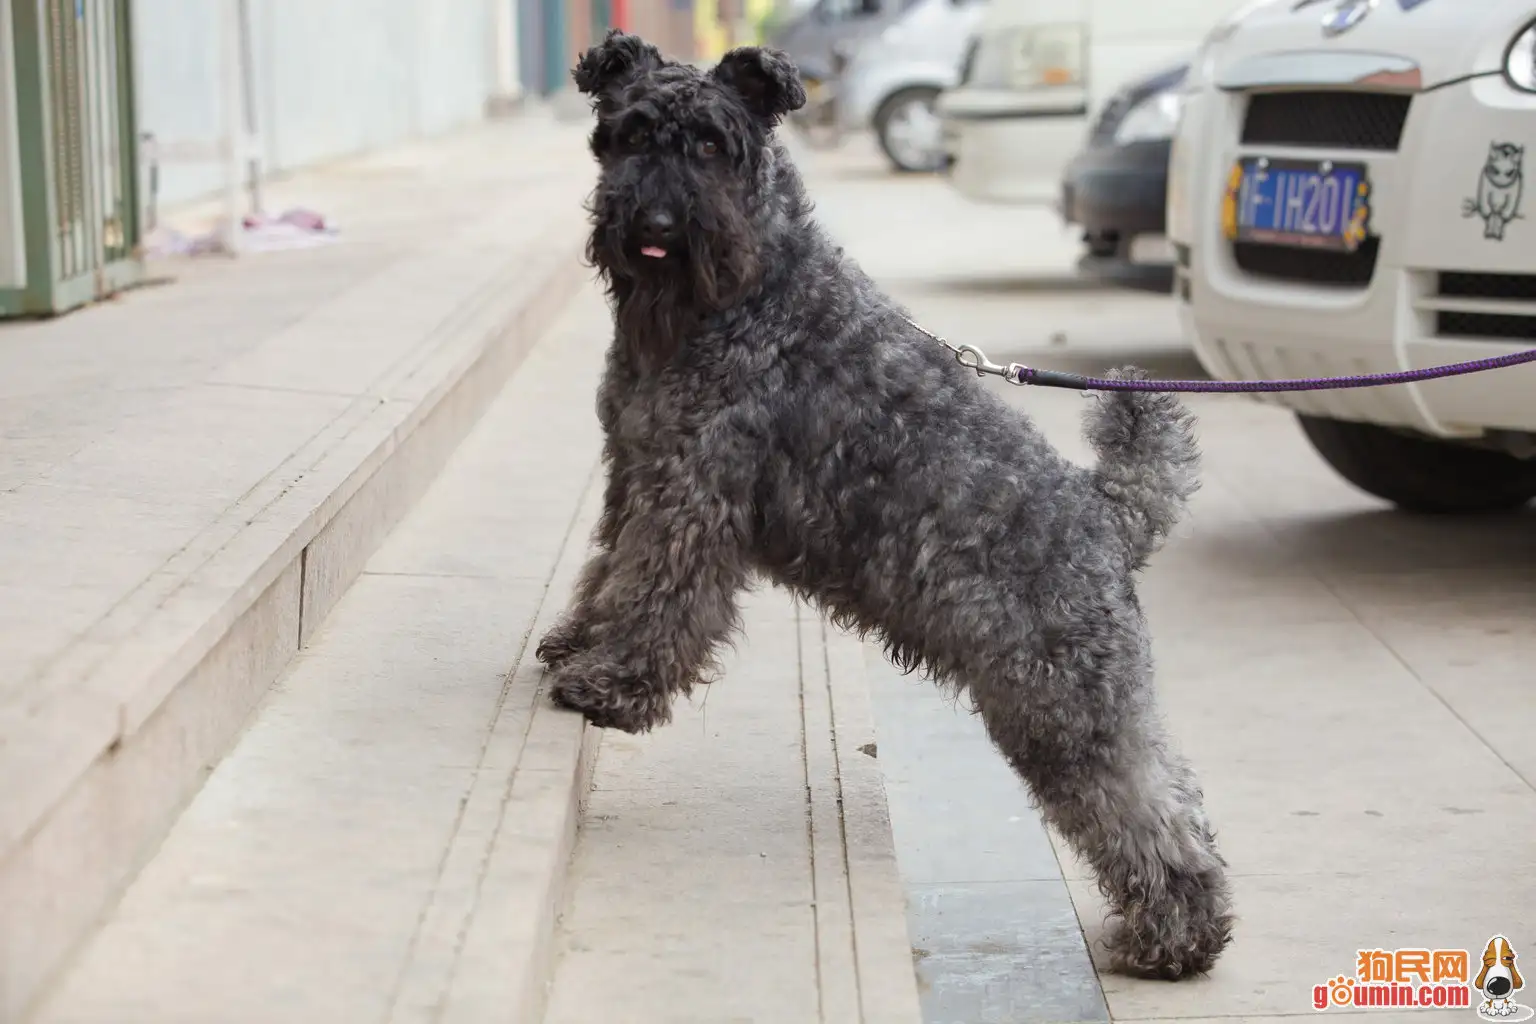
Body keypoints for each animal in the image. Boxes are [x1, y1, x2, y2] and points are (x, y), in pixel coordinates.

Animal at [540, 28, 1234, 982]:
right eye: (630, 133)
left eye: (713, 145)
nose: (655, 226)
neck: (749, 292)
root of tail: (1106, 512)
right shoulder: (635, 470)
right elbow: (608, 569)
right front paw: (577, 642)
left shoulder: (691, 493)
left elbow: (655, 595)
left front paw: (612, 683)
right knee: (1173, 791)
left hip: (1061, 705)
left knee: (1140, 809)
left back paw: (1175, 937)